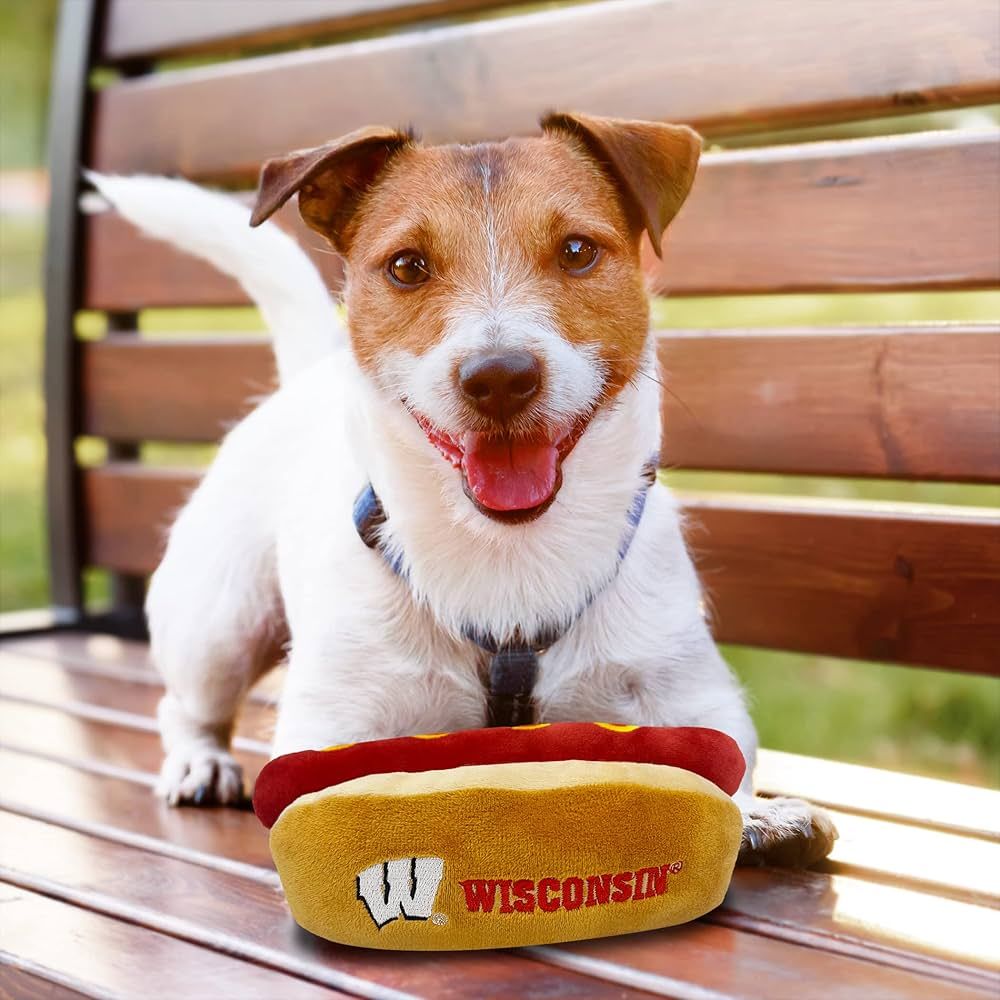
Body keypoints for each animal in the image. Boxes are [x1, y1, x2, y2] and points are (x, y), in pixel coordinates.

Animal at [94, 113, 840, 868]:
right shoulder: (335, 716)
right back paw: (199, 761)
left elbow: (719, 759)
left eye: (577, 251)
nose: (500, 377)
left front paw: (759, 814)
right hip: (216, 626)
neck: (508, 553)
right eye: (406, 266)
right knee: (186, 706)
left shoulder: (688, 693)